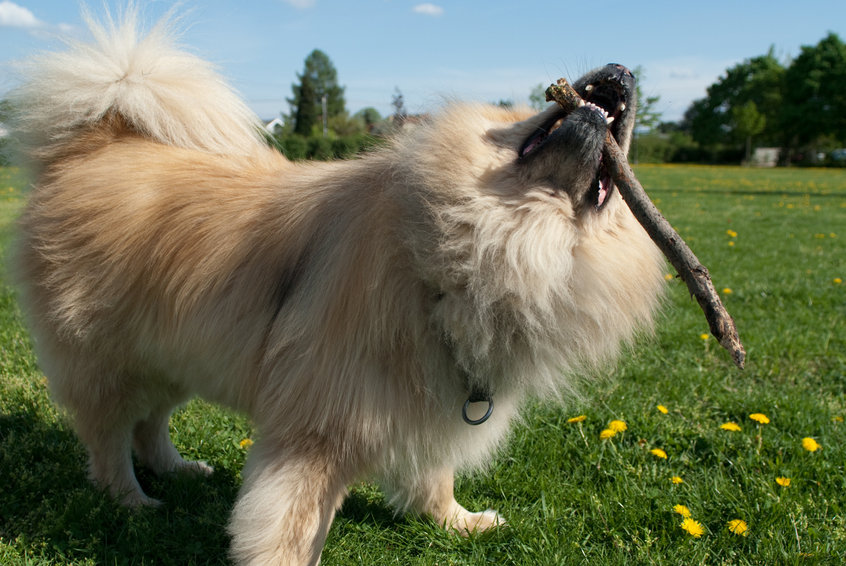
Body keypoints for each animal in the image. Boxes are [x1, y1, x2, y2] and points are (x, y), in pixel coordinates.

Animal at [9, 8, 664, 566]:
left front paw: (456, 521)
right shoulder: (319, 429)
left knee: (150, 424)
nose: (624, 69)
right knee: (109, 437)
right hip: (108, 359)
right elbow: (292, 525)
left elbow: (434, 475)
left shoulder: (431, 400)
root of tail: (98, 143)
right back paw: (132, 500)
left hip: (172, 350)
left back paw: (176, 470)